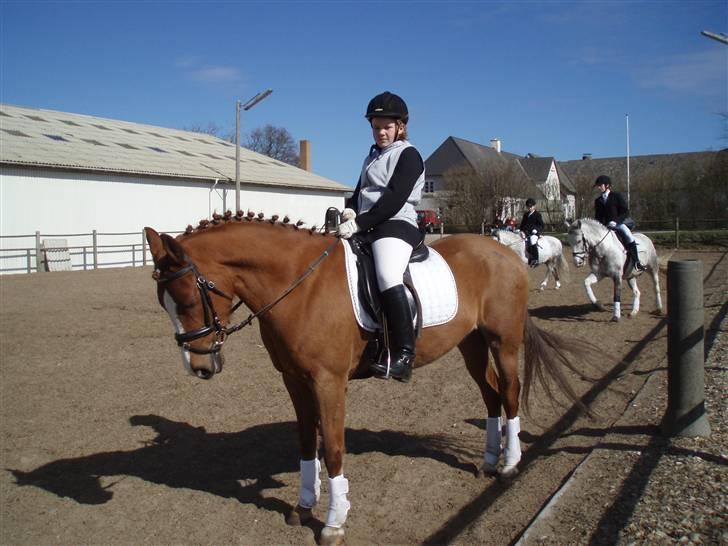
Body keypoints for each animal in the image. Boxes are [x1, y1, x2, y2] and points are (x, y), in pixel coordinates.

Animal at [144, 210, 595, 545]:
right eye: (163, 302)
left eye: (188, 298)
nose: (200, 367)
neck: (299, 284)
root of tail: (505, 251)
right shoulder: (294, 380)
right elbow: (306, 443)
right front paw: (303, 507)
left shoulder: (328, 382)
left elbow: (333, 449)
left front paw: (333, 523)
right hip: (470, 343)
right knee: (490, 394)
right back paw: (488, 461)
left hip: (503, 340)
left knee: (511, 391)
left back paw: (510, 465)